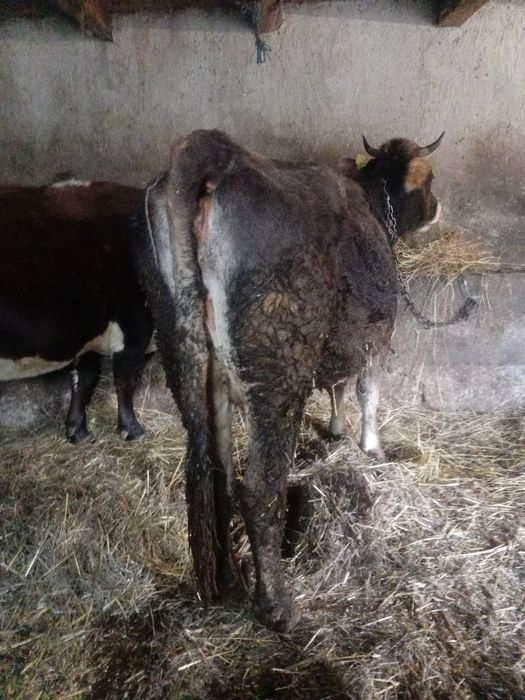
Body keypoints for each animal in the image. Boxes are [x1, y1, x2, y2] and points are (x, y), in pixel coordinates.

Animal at [0, 181, 153, 442]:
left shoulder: (87, 334)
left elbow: (84, 379)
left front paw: (77, 430)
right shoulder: (133, 328)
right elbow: (124, 381)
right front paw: (131, 430)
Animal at [134, 129, 443, 632]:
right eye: (429, 179)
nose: (437, 208)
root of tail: (218, 156)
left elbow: (337, 388)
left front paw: (335, 430)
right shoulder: (373, 337)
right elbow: (365, 391)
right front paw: (370, 448)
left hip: (188, 357)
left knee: (216, 476)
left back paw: (226, 581)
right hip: (277, 371)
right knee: (260, 488)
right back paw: (277, 605)